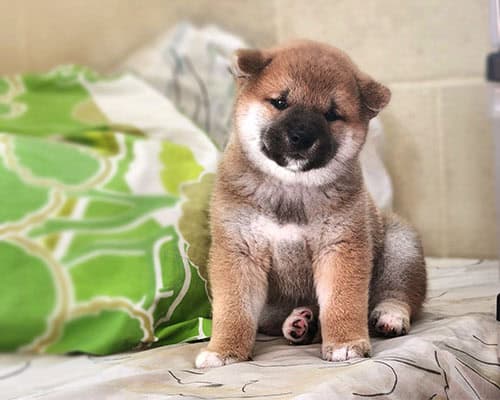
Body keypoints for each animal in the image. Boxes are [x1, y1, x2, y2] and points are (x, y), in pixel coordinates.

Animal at [195, 40, 426, 368]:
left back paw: (389, 316)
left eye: (332, 114)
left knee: (398, 292)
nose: (301, 136)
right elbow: (233, 310)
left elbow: (342, 302)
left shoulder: (340, 247)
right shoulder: (239, 251)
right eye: (280, 102)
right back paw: (299, 324)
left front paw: (345, 343)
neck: (291, 187)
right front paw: (224, 351)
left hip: (401, 245)